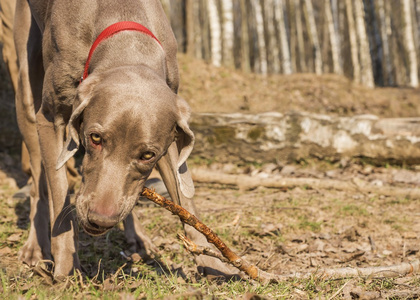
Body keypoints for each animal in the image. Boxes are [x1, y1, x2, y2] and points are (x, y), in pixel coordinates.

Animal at [13, 0, 235, 280]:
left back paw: (137, 237)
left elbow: (185, 199)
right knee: (37, 182)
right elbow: (59, 192)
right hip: (26, 91)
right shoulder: (49, 118)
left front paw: (214, 264)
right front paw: (67, 267)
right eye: (95, 138)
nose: (100, 220)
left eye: (148, 155)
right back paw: (34, 247)